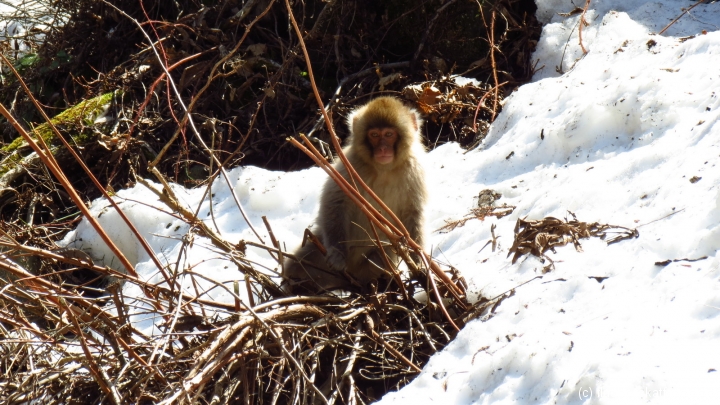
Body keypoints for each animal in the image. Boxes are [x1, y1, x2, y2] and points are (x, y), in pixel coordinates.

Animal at [283, 96, 428, 294]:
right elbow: (336, 202)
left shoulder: (415, 170)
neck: (384, 169)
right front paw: (338, 254)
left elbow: (412, 213)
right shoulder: (351, 164)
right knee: (299, 265)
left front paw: (419, 261)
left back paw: (377, 286)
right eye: (374, 135)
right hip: (320, 252)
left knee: (381, 259)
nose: (383, 149)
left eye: (389, 134)